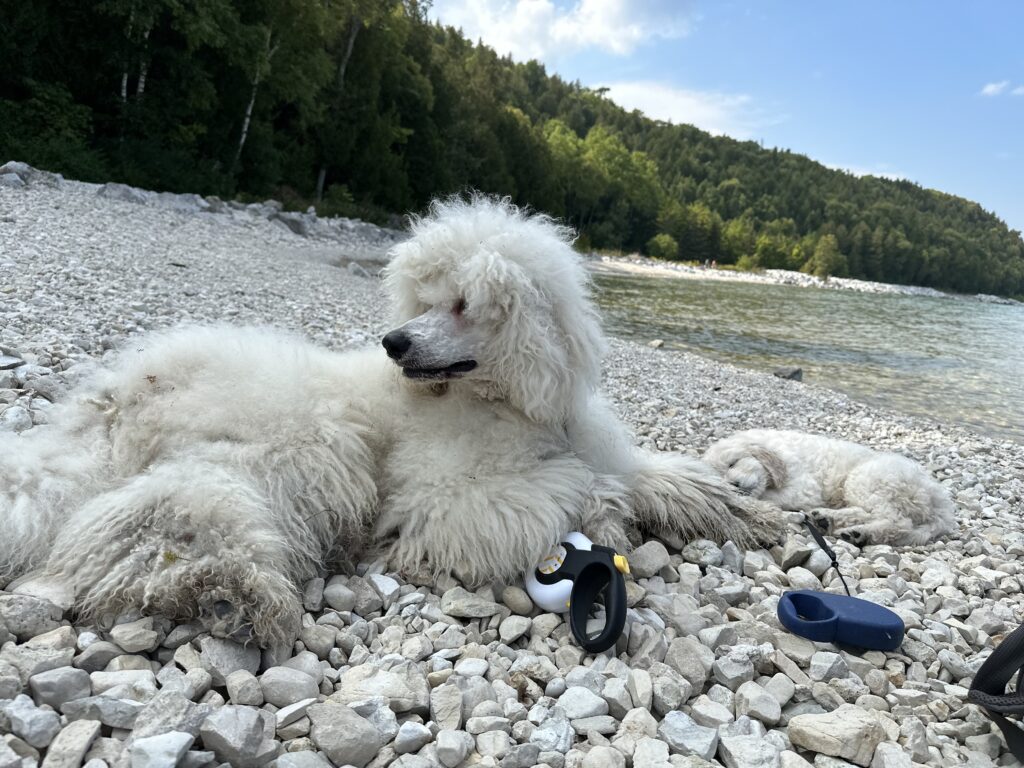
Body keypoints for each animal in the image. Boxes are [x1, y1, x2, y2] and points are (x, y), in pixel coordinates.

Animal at [0, 196, 781, 646]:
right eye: (424, 298)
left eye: (462, 305)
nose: (394, 342)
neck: (501, 401)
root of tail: (111, 400)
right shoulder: (444, 502)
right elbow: (571, 488)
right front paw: (608, 511)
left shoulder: (589, 441)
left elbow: (657, 475)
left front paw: (737, 510)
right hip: (297, 450)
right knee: (159, 525)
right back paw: (229, 589)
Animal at [702, 429, 956, 546]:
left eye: (733, 463)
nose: (734, 485)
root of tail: (940, 504)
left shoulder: (804, 488)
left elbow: (770, 498)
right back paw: (829, 520)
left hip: (867, 479)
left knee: (897, 521)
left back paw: (860, 532)